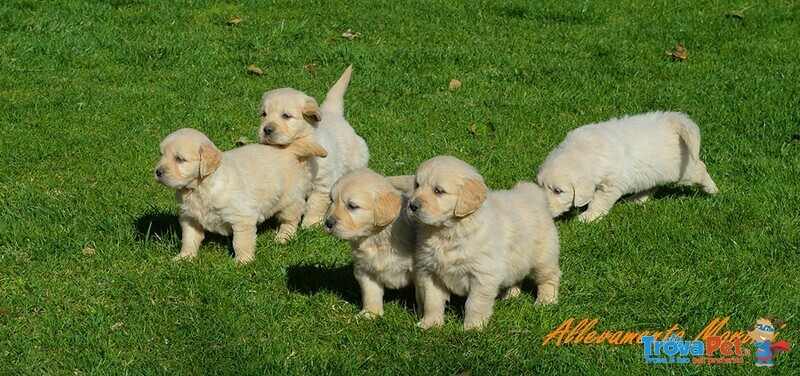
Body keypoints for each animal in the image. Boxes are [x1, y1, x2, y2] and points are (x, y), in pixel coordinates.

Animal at [155, 128, 326, 262]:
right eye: (162, 155)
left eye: (180, 159)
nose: (157, 172)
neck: (198, 189)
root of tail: (287, 150)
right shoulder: (190, 217)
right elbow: (189, 238)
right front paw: (184, 257)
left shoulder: (242, 217)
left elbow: (241, 242)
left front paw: (242, 262)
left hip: (290, 199)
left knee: (290, 219)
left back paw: (283, 237)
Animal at [258, 66, 370, 228]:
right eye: (264, 114)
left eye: (286, 116)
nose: (266, 130)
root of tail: (334, 114)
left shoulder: (322, 183)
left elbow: (315, 205)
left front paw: (310, 225)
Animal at [322, 169, 418, 318]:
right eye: (332, 200)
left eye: (352, 206)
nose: (328, 222)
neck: (375, 239)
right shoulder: (365, 270)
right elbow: (371, 293)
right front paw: (370, 314)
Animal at [406, 156, 564, 328]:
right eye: (417, 185)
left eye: (438, 191)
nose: (412, 205)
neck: (448, 231)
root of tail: (532, 192)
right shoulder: (430, 271)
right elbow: (432, 301)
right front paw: (430, 324)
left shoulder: (483, 274)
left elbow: (475, 304)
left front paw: (472, 328)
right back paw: (511, 295)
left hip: (543, 257)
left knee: (550, 277)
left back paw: (546, 301)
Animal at [536, 111, 720, 223]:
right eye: (540, 186)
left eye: (558, 191)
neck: (583, 153)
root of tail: (671, 122)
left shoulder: (611, 184)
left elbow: (599, 201)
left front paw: (589, 216)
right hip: (651, 171)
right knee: (651, 186)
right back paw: (637, 199)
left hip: (680, 170)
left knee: (700, 169)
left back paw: (712, 189)